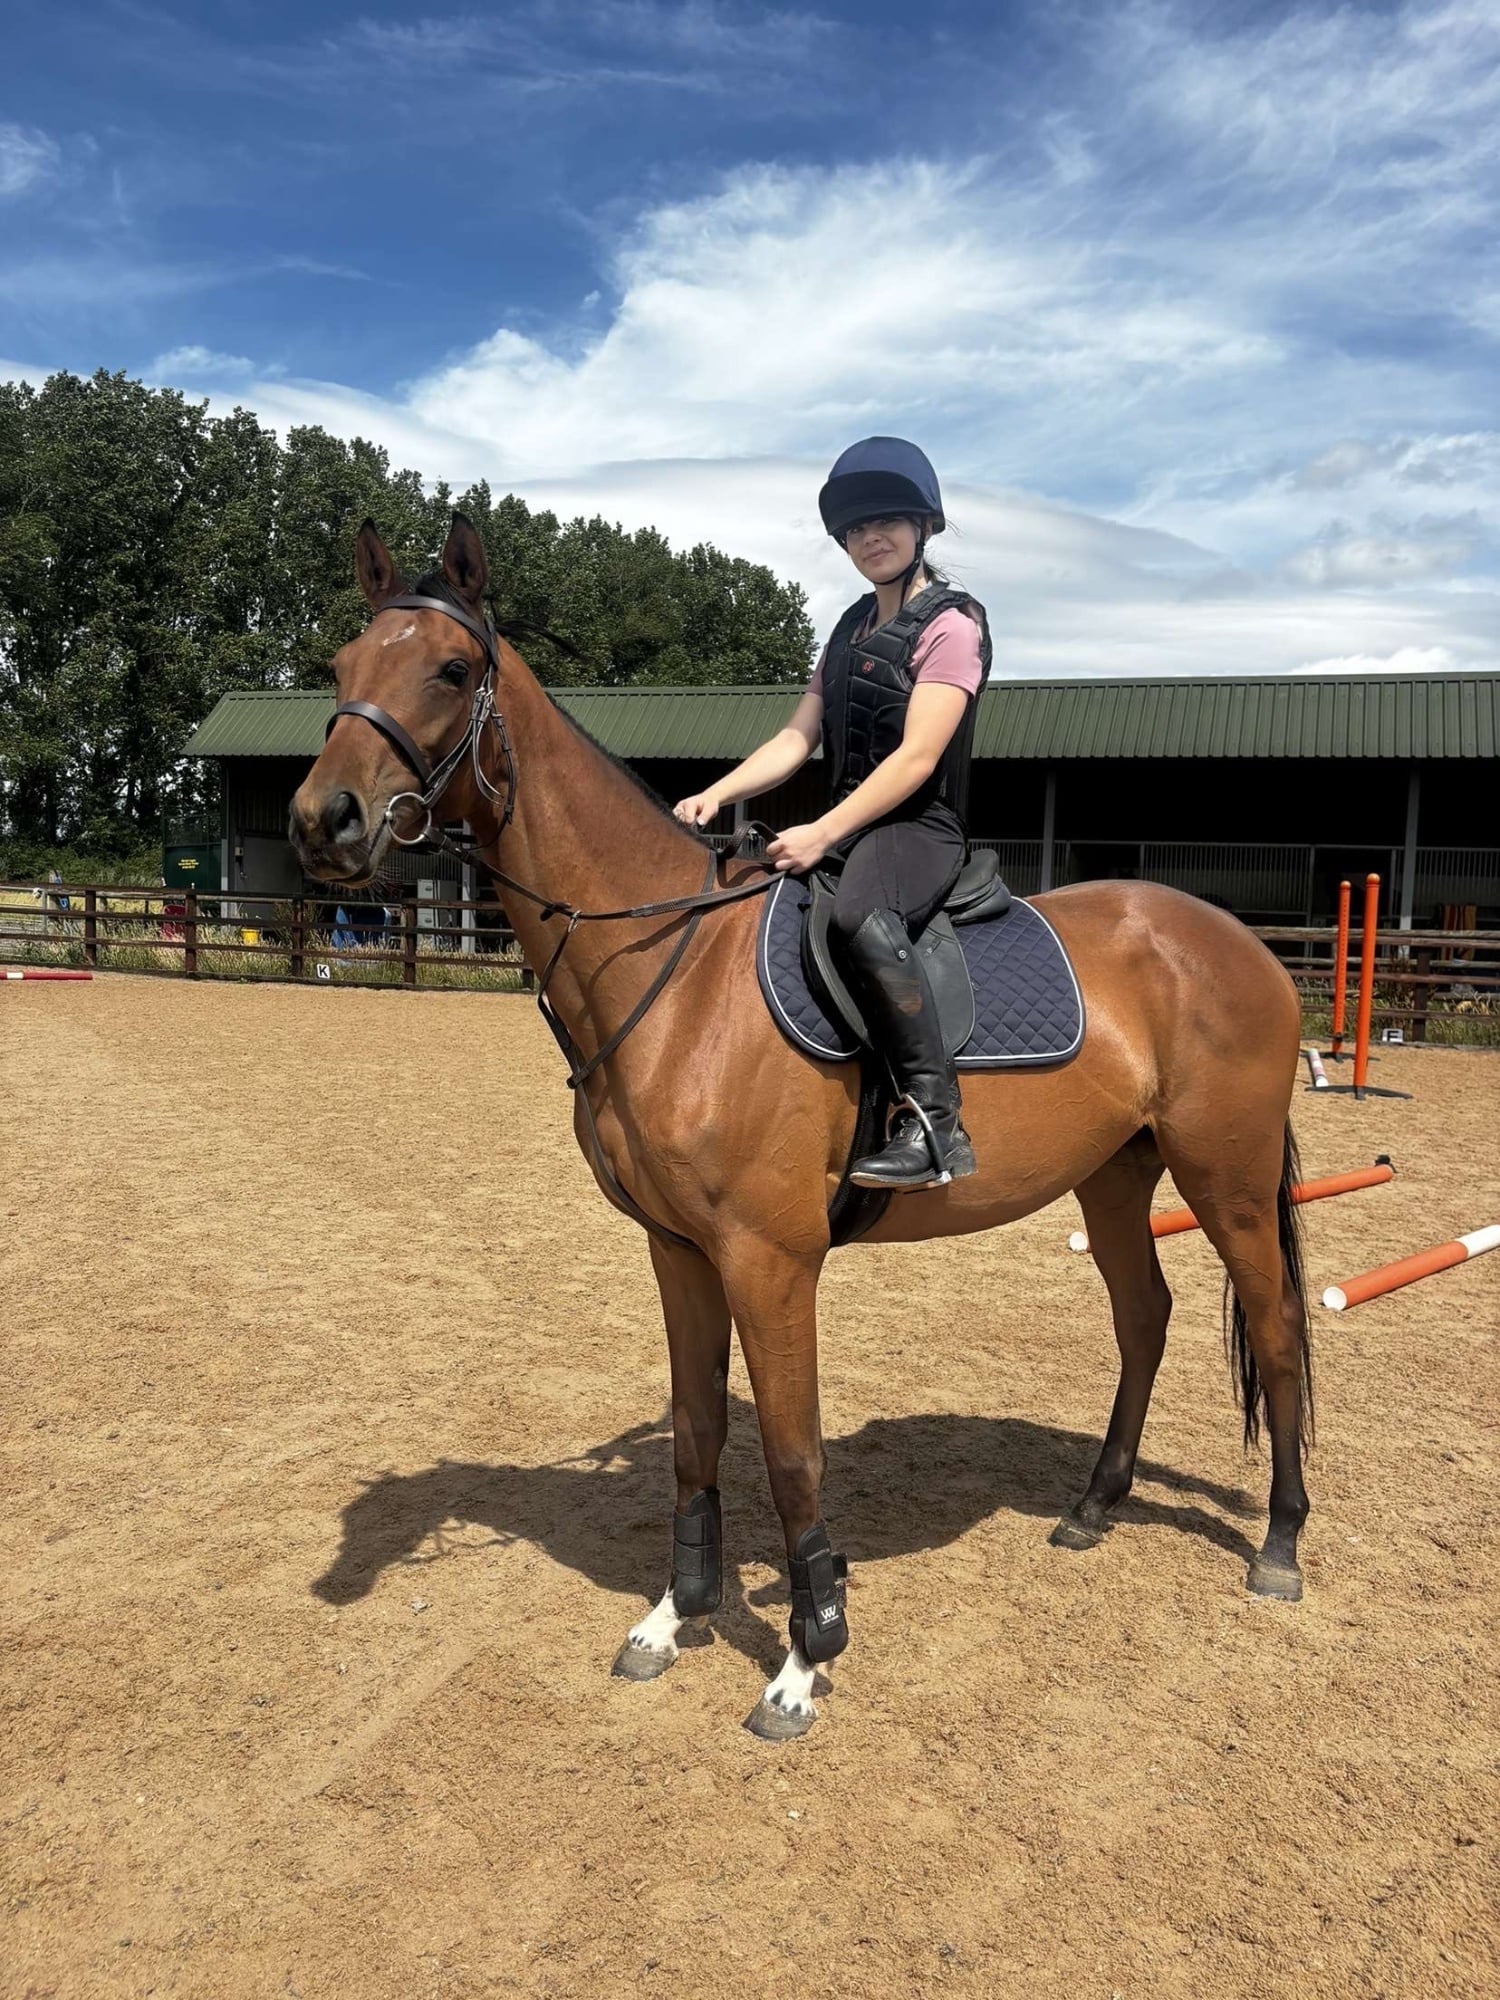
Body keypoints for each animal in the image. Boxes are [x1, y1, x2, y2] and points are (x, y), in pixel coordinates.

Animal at [289, 515, 1313, 1740]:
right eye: (341, 667)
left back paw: (1282, 1543)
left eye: (449, 670)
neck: (675, 971)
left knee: (1276, 1329)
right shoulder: (678, 1250)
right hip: (1116, 1174)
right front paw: (674, 1617)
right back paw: (1095, 1504)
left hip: (1228, 1180)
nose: (323, 823)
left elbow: (789, 1451)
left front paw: (805, 1652)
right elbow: (695, 1434)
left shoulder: (770, 1258)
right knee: (1145, 1316)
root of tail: (1241, 941)